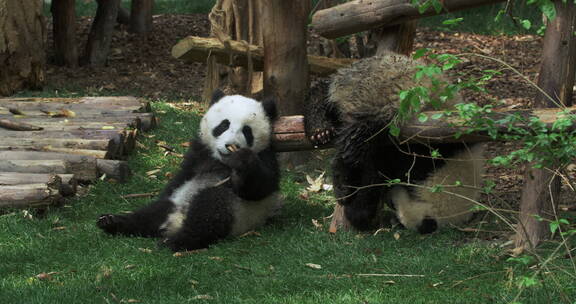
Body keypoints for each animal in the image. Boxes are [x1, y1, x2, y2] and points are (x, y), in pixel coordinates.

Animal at [98, 90, 282, 252]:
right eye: (224, 125)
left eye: (247, 131)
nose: (230, 145)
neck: (221, 161)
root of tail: (176, 221)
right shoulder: (200, 151)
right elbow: (183, 175)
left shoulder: (266, 155)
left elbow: (259, 189)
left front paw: (242, 159)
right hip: (175, 202)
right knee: (151, 213)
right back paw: (111, 222)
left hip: (238, 214)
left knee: (209, 212)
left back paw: (176, 241)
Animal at [308, 52, 484, 233]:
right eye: (393, 204)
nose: (389, 200)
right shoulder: (423, 152)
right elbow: (375, 169)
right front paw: (358, 211)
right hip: (388, 95)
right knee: (359, 135)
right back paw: (341, 179)